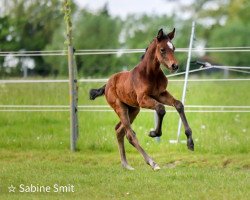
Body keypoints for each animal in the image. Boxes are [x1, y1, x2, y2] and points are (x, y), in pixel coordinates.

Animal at [89, 28, 193, 171]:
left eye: (174, 48)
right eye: (162, 49)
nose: (175, 66)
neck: (150, 74)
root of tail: (107, 84)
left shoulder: (161, 94)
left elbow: (178, 105)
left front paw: (190, 142)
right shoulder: (143, 99)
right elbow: (160, 108)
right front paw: (154, 133)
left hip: (133, 110)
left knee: (119, 131)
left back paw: (126, 165)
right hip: (120, 108)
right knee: (130, 135)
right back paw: (152, 163)